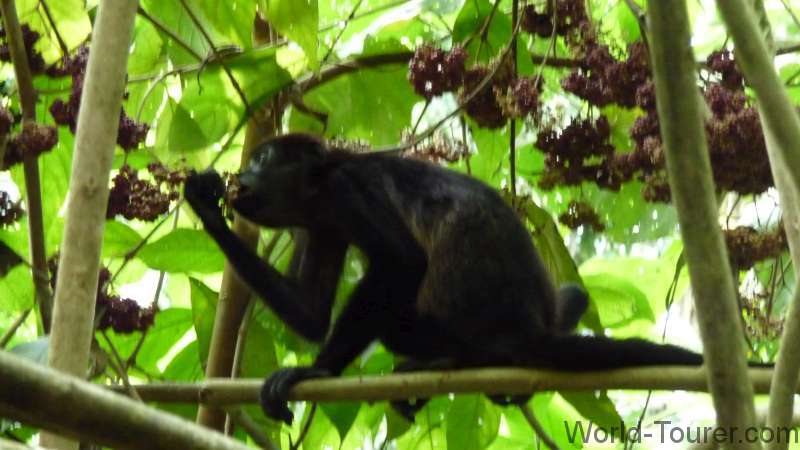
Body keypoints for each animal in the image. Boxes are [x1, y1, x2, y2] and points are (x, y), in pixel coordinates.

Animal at [184, 133, 708, 425]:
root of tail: (529, 331)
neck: (320, 187)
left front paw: (317, 371)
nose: (243, 173)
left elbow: (402, 262)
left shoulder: (348, 190)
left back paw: (450, 358)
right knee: (573, 296)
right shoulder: (322, 224)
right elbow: (312, 314)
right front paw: (206, 206)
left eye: (263, 159)